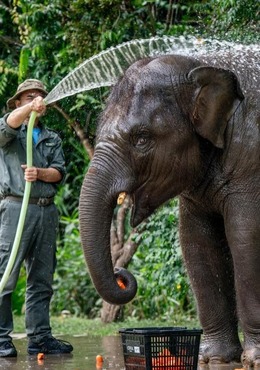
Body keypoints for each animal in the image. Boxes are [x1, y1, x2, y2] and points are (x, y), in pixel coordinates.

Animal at [79, 49, 260, 368]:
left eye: (141, 138)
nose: (121, 274)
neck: (203, 65)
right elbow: (196, 242)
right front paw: (214, 358)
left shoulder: (250, 163)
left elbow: (245, 237)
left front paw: (254, 359)